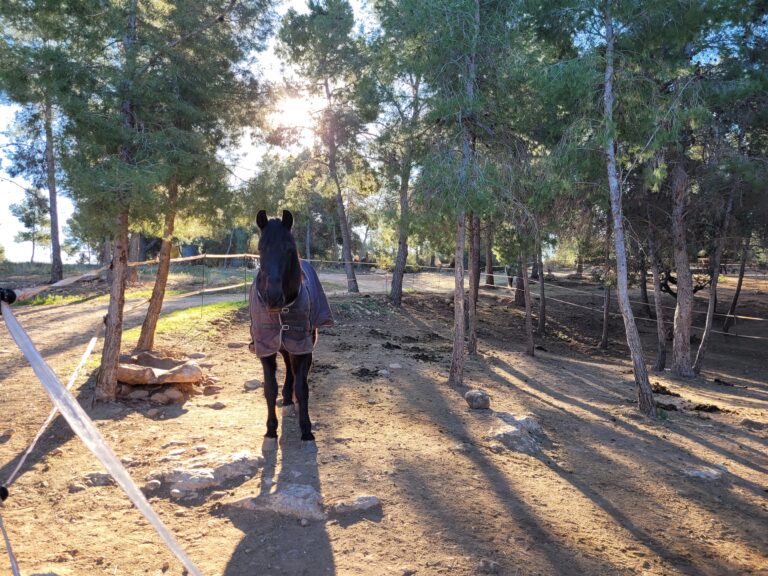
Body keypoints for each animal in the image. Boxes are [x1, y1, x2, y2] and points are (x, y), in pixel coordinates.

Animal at [249, 209, 332, 452]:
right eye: (261, 248)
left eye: (288, 249)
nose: (273, 297)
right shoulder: (266, 347)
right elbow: (269, 388)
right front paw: (270, 431)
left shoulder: (302, 347)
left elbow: (302, 388)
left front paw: (307, 431)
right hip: (283, 344)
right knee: (287, 366)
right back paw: (286, 398)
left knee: (293, 372)